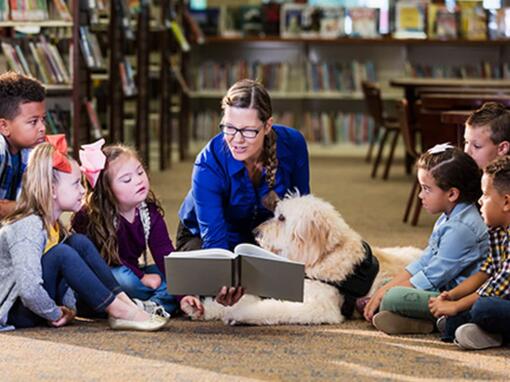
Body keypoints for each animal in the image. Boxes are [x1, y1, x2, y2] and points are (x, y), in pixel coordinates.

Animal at [181, 194, 420, 326]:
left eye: (282, 218)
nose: (256, 232)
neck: (323, 257)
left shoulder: (317, 306)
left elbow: (273, 308)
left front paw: (238, 314)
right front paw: (201, 309)